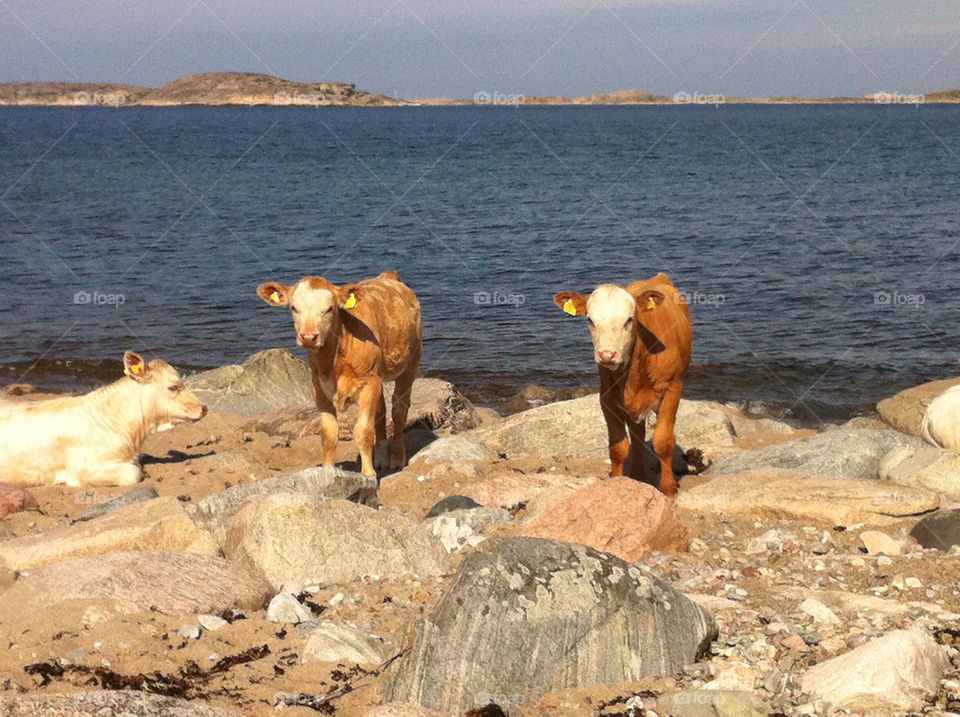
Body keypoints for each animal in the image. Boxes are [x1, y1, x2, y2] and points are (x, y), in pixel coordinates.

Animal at [256, 268, 422, 476]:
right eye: (293, 308)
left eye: (330, 308)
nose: (309, 336)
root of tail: (387, 277)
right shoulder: (319, 388)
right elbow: (328, 434)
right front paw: (328, 472)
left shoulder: (369, 382)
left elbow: (363, 431)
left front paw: (368, 474)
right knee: (381, 410)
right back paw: (381, 458)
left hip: (410, 363)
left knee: (399, 409)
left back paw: (397, 458)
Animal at [556, 272, 688, 496]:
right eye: (590, 319)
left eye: (629, 319)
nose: (607, 355)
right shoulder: (607, 398)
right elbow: (618, 448)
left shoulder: (672, 389)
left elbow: (663, 442)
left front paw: (669, 492)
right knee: (637, 438)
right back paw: (638, 476)